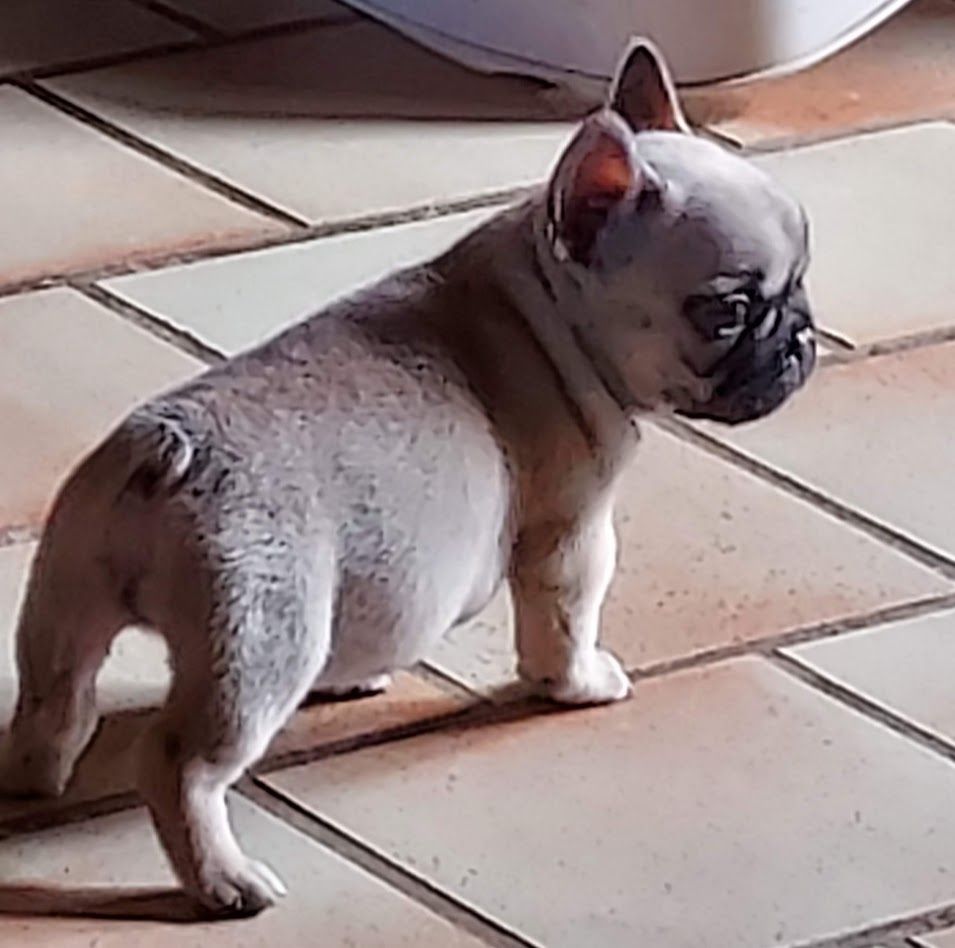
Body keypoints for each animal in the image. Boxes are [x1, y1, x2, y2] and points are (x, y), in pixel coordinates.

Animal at [0, 39, 815, 915]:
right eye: (726, 311)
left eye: (802, 277)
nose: (801, 336)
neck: (543, 302)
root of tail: (169, 452)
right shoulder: (570, 535)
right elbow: (563, 623)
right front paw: (581, 683)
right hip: (259, 641)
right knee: (180, 764)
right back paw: (224, 881)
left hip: (66, 596)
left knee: (55, 696)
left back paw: (36, 777)